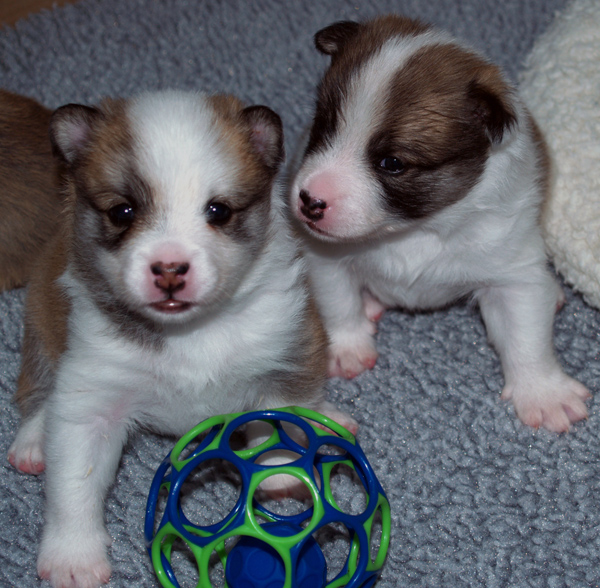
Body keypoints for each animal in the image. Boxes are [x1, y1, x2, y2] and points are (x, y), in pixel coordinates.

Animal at [292, 16, 592, 434]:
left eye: (392, 163)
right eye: (323, 127)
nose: (308, 201)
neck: (416, 229)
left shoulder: (513, 275)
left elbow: (527, 337)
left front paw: (544, 394)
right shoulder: (324, 255)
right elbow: (337, 302)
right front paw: (348, 348)